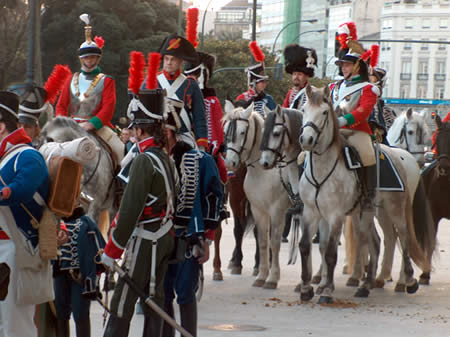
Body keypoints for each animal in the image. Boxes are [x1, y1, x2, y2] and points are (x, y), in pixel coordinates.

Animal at [223, 101, 290, 288]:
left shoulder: (274, 209)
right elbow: (252, 235)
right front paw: (248, 268)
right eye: (225, 131)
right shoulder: (246, 203)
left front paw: (267, 272)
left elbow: (269, 238)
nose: (229, 163)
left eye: (242, 132)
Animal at [298, 84, 430, 302]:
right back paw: (367, 285)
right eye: (304, 110)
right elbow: (306, 246)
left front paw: (327, 290)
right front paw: (307, 288)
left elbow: (331, 252)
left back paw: (408, 281)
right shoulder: (311, 213)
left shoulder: (336, 215)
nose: (306, 139)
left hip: (394, 209)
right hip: (370, 211)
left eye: (324, 112)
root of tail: (400, 157)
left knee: (403, 238)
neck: (322, 168)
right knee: (376, 242)